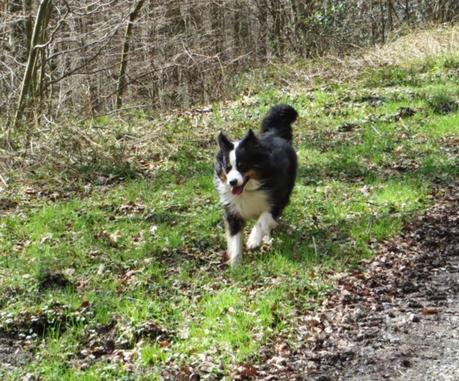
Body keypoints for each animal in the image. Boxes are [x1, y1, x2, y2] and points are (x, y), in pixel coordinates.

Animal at [215, 103, 298, 264]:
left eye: (242, 166)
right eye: (227, 167)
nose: (232, 182)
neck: (249, 189)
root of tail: (274, 134)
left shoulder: (276, 200)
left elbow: (263, 219)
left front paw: (253, 240)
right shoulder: (233, 211)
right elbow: (235, 238)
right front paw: (236, 263)